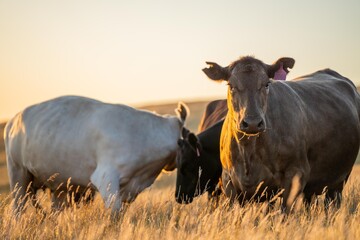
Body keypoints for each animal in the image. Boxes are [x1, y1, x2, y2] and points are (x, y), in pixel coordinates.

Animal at [4, 95, 188, 216]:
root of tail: (12, 121)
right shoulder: (106, 178)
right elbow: (115, 214)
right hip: (18, 174)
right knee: (18, 209)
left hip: (59, 185)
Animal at [202, 56, 360, 212]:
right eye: (231, 86)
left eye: (266, 84)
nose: (253, 123)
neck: (249, 152)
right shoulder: (229, 182)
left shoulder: (296, 174)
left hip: (339, 180)